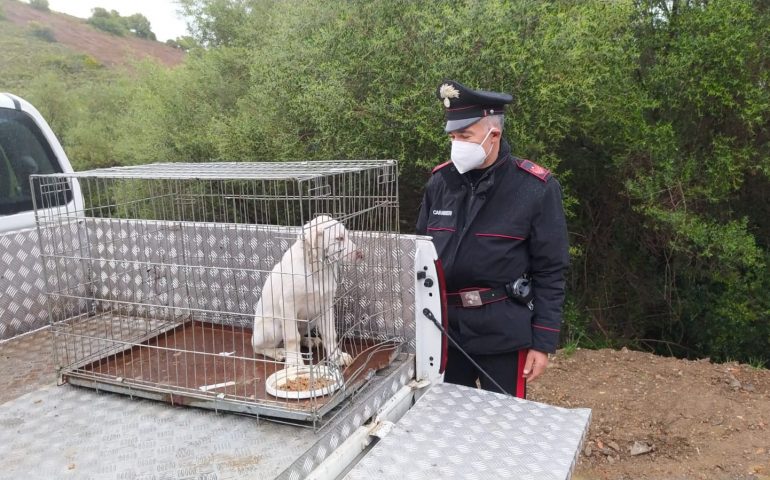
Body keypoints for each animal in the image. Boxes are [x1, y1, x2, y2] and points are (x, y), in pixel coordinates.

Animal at [252, 215, 360, 368]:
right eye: (339, 238)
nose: (360, 254)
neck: (316, 268)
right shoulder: (288, 304)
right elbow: (292, 337)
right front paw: (295, 363)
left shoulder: (326, 304)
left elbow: (330, 333)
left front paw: (337, 356)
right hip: (273, 327)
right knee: (258, 347)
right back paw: (278, 352)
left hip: (311, 319)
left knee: (300, 334)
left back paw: (309, 341)